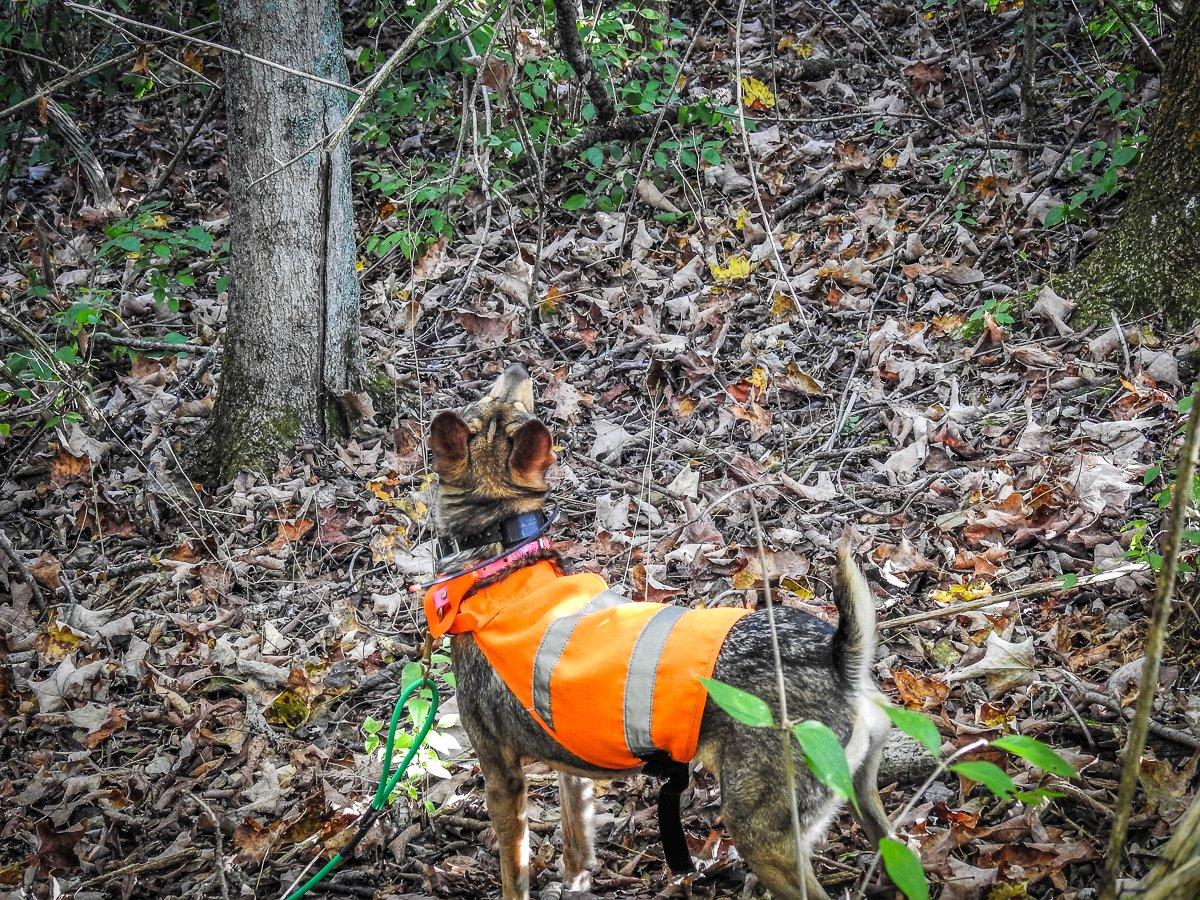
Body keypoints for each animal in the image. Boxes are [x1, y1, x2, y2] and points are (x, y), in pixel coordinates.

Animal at [424, 362, 892, 897]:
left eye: (479, 404)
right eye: (498, 400)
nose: (519, 367)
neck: (504, 554)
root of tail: (838, 662)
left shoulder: (500, 771)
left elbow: (512, 867)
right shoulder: (571, 770)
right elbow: (576, 842)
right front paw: (577, 881)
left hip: (762, 834)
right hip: (862, 805)